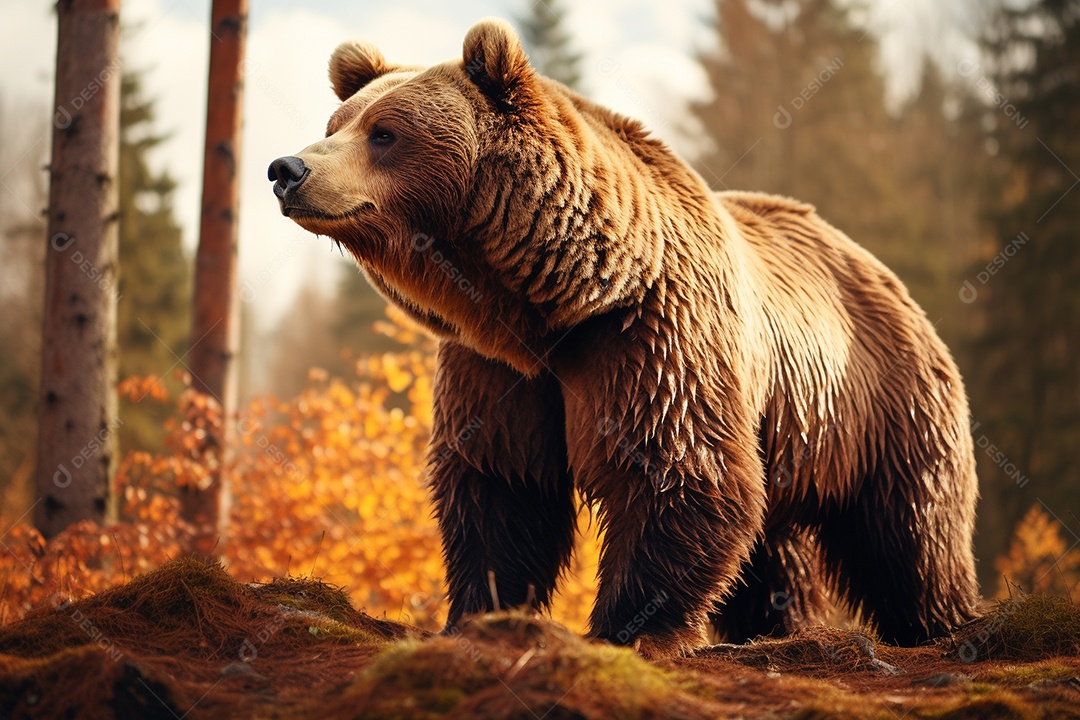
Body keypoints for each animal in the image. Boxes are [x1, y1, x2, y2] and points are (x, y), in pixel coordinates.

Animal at [268, 19, 980, 657]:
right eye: (337, 124)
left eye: (385, 133)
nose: (286, 168)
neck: (551, 302)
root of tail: (875, 267)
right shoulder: (497, 369)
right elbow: (500, 483)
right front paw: (480, 610)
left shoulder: (650, 338)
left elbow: (676, 469)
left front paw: (628, 629)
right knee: (776, 545)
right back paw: (779, 626)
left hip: (882, 400)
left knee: (911, 527)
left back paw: (940, 622)